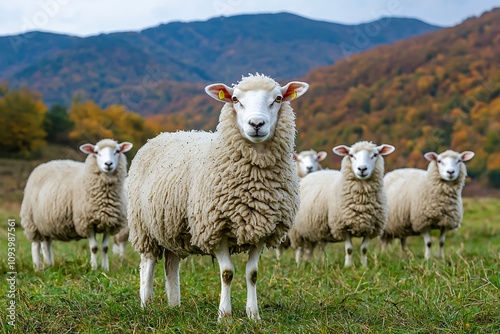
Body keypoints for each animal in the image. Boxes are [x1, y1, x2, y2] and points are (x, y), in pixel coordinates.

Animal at [20, 140, 132, 270]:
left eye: (117, 151)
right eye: (96, 152)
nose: (108, 164)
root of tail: (44, 164)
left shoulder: (109, 223)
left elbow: (105, 248)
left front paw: (105, 268)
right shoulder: (86, 223)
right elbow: (94, 248)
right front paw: (94, 268)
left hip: (46, 222)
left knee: (46, 244)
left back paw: (49, 265)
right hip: (31, 222)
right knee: (35, 245)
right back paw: (37, 266)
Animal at [128, 73, 308, 320]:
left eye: (278, 99)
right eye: (235, 99)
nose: (256, 124)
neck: (254, 181)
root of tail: (162, 135)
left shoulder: (263, 228)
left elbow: (252, 274)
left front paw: (254, 315)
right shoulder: (216, 227)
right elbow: (227, 273)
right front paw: (224, 315)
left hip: (171, 225)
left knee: (171, 264)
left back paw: (175, 305)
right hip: (143, 226)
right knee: (148, 262)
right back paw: (146, 303)